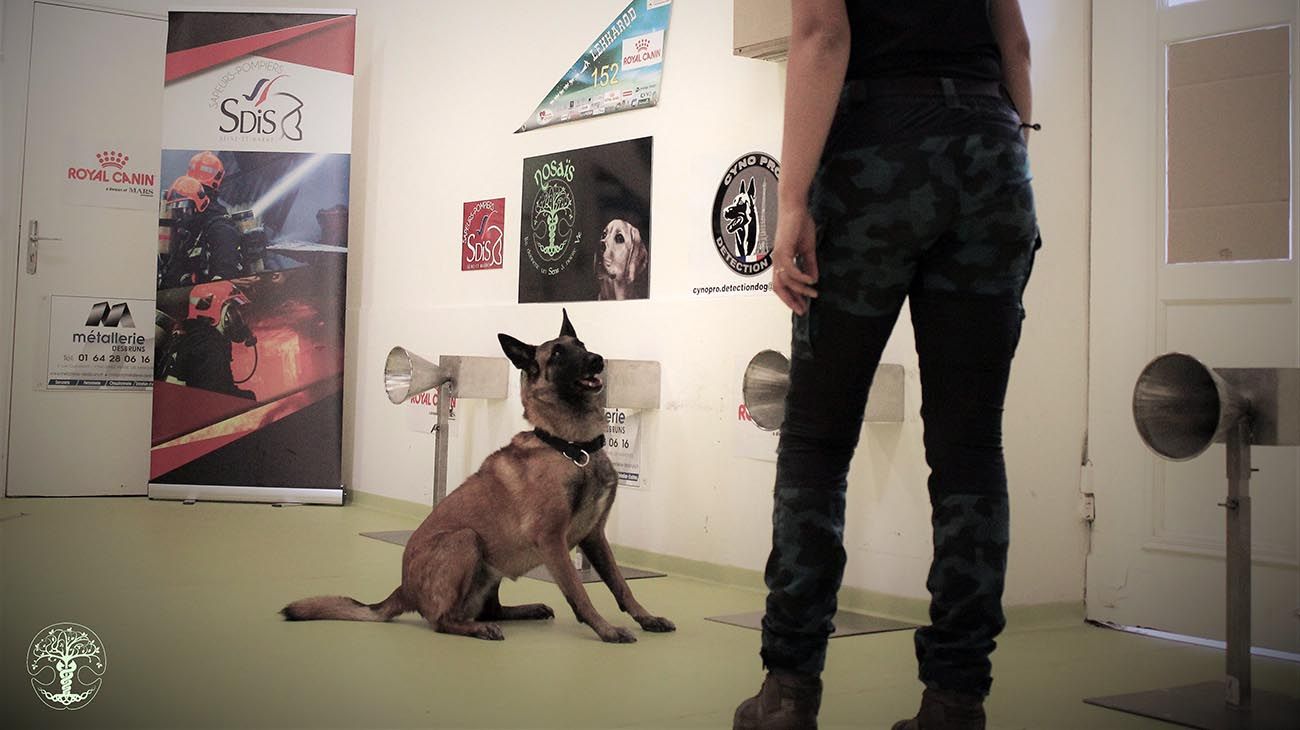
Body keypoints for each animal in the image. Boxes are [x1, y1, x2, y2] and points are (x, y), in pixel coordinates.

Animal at [280, 309, 676, 639]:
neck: (571, 447)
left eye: (582, 345)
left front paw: (646, 618)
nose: (598, 360)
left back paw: (524, 610)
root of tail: (403, 589)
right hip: (466, 540)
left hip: (493, 567)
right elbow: (579, 593)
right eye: (557, 355)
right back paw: (477, 629)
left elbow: (621, 584)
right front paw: (606, 629)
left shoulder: (594, 537)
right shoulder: (552, 539)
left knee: (491, 609)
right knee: (442, 621)